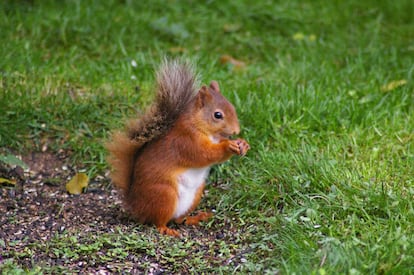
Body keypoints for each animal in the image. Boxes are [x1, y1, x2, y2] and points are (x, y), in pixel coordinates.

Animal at [106, 60, 249, 237]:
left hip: (195, 194)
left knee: (179, 219)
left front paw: (242, 144)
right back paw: (166, 229)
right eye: (217, 115)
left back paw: (196, 218)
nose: (236, 130)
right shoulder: (186, 141)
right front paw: (228, 146)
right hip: (164, 194)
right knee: (157, 221)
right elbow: (204, 154)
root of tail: (135, 206)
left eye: (233, 107)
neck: (199, 124)